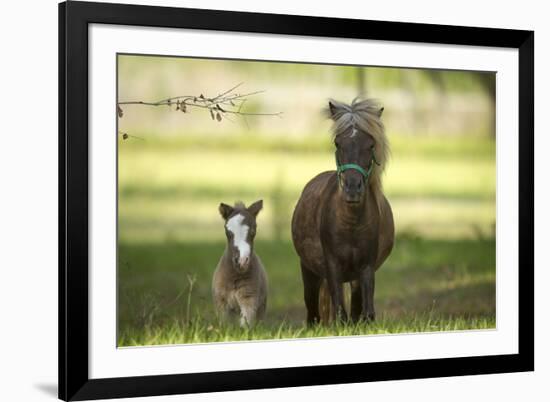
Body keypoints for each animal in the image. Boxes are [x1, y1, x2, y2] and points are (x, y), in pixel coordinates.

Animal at [292, 98, 394, 324]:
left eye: (371, 145)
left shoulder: (366, 267)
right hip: (309, 272)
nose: (352, 188)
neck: (351, 223)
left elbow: (366, 312)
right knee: (313, 314)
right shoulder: (332, 266)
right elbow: (340, 313)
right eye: (338, 143)